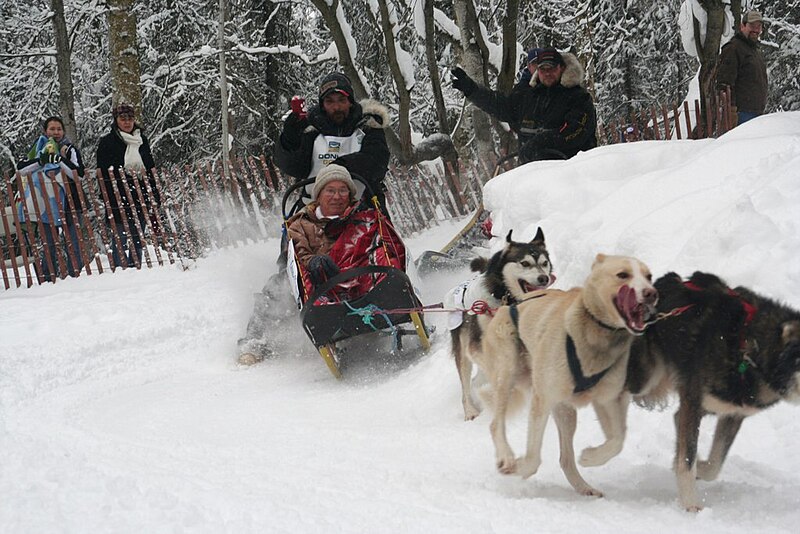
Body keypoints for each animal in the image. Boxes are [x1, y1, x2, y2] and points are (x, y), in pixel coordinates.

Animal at [444, 230, 552, 422]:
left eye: (544, 263)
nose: (543, 278)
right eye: (525, 263)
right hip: (464, 354)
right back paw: (470, 410)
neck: (504, 295)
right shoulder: (476, 347)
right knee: (466, 386)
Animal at [482, 255, 656, 498]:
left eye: (649, 276)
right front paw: (520, 467)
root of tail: (512, 304)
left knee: (565, 458)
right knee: (495, 424)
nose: (651, 293)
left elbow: (618, 440)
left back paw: (584, 487)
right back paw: (507, 458)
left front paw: (590, 457)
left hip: (565, 411)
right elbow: (533, 458)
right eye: (623, 275)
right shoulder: (542, 400)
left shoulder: (607, 400)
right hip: (506, 373)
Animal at [580, 274, 800, 512]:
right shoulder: (693, 403)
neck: (748, 346)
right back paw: (595, 454)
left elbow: (713, 465)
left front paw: (700, 468)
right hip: (645, 379)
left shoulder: (732, 413)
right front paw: (690, 504)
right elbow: (687, 461)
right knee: (611, 402)